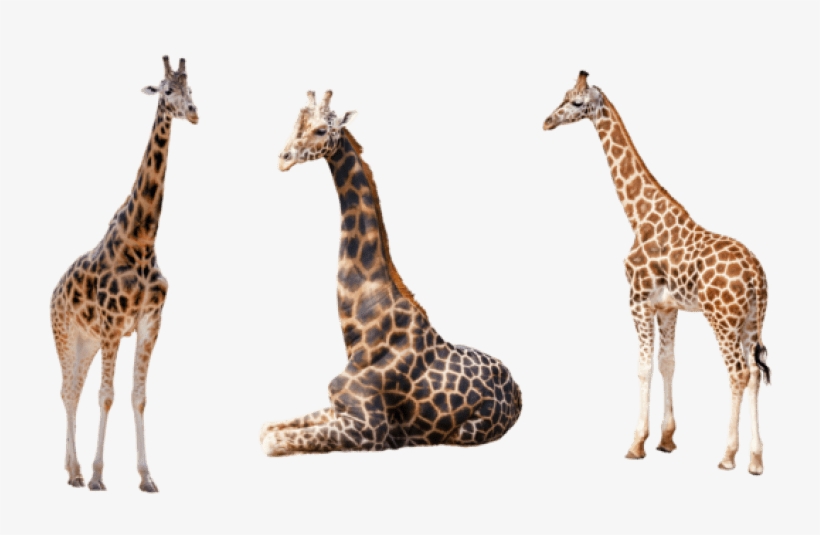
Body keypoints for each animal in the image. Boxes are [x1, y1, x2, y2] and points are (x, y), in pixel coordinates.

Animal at [50, 56, 198, 492]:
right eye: (166, 90)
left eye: (192, 88)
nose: (193, 112)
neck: (143, 238)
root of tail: (52, 292)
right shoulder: (114, 324)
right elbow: (107, 395)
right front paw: (99, 475)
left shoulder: (149, 322)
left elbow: (137, 395)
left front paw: (146, 476)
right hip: (66, 335)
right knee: (67, 392)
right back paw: (77, 472)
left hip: (86, 342)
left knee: (73, 389)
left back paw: (72, 469)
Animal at [260, 91, 522, 455]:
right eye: (295, 123)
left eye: (320, 130)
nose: (283, 159)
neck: (361, 331)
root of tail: (519, 391)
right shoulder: (336, 408)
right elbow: (269, 427)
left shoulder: (369, 429)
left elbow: (272, 441)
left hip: (467, 432)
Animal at [542, 72, 770, 475]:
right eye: (564, 95)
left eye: (575, 102)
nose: (546, 122)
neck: (639, 218)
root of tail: (756, 275)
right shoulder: (667, 307)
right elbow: (668, 363)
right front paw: (666, 440)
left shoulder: (637, 299)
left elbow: (643, 366)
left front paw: (636, 443)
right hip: (751, 321)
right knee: (756, 374)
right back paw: (756, 460)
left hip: (722, 320)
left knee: (739, 373)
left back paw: (728, 456)